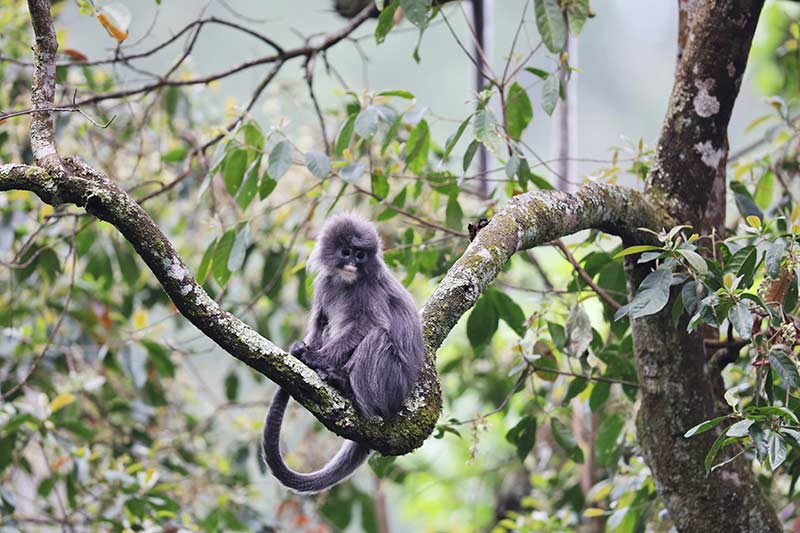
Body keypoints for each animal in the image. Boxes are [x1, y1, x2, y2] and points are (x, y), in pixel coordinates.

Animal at [260, 211, 424, 490]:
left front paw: (313, 357)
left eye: (360, 255)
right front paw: (303, 350)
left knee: (377, 336)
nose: (352, 264)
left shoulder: (369, 289)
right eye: (346, 252)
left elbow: (368, 325)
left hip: (392, 386)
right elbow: (320, 323)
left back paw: (346, 385)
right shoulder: (325, 285)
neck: (348, 282)